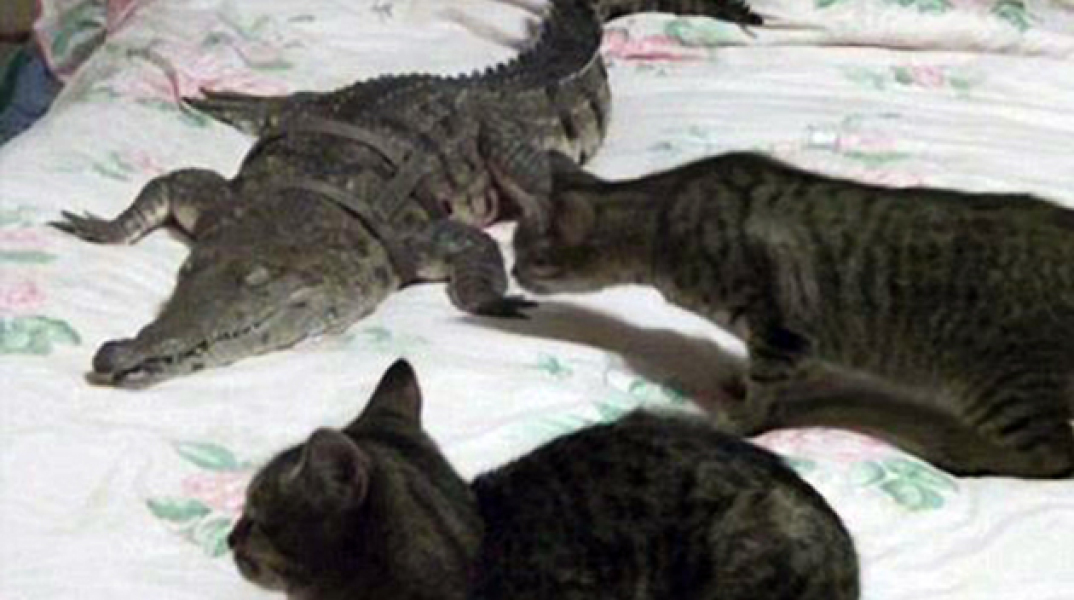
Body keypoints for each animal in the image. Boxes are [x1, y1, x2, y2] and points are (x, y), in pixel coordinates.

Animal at [510, 151, 1074, 479]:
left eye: (526, 255)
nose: (511, 273)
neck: (660, 216)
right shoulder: (791, 344)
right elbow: (766, 379)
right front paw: (739, 385)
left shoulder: (777, 332)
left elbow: (762, 396)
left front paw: (739, 419)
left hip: (1003, 384)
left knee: (1053, 455)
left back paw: (961, 452)